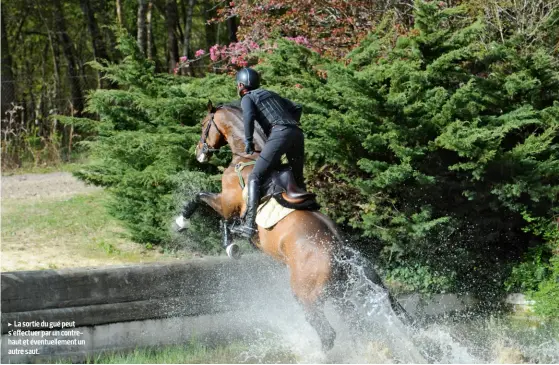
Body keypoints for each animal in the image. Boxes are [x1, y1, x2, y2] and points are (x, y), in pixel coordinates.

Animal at [177, 101, 414, 352]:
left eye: (204, 124)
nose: (199, 153)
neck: (248, 155)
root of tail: (342, 251)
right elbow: (220, 217)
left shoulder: (227, 204)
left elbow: (201, 199)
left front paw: (184, 223)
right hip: (340, 295)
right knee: (356, 326)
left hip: (306, 296)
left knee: (327, 333)